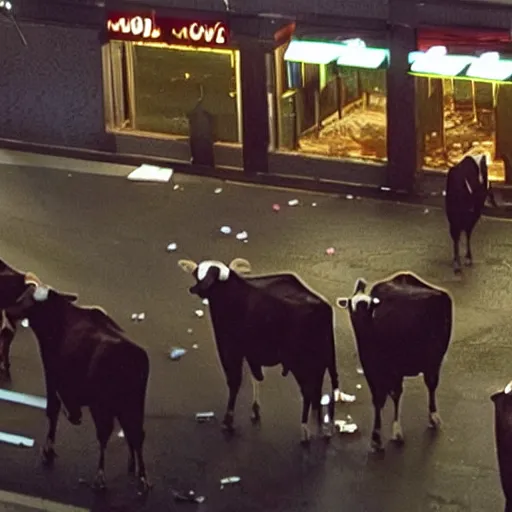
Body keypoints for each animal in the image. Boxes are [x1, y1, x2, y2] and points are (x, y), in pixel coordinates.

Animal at [4, 278, 152, 494]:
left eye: (27, 300)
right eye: (23, 295)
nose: (8, 311)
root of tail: (132, 356)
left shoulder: (52, 376)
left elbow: (52, 411)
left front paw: (48, 451)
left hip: (104, 406)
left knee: (107, 434)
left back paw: (100, 478)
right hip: (132, 403)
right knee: (136, 433)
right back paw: (140, 475)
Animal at [178, 258, 342, 442]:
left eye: (207, 278)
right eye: (196, 274)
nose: (196, 289)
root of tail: (321, 307)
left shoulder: (229, 348)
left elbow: (234, 382)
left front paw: (228, 420)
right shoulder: (252, 352)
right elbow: (256, 377)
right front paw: (255, 409)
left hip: (301, 363)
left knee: (308, 391)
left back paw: (305, 431)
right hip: (324, 359)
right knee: (319, 389)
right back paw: (322, 427)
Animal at [336, 274, 452, 450]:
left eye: (370, 305)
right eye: (350, 304)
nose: (359, 318)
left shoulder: (396, 371)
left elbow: (396, 395)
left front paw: (396, 431)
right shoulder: (371, 371)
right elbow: (378, 400)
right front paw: (376, 438)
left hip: (434, 358)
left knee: (431, 385)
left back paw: (433, 416)